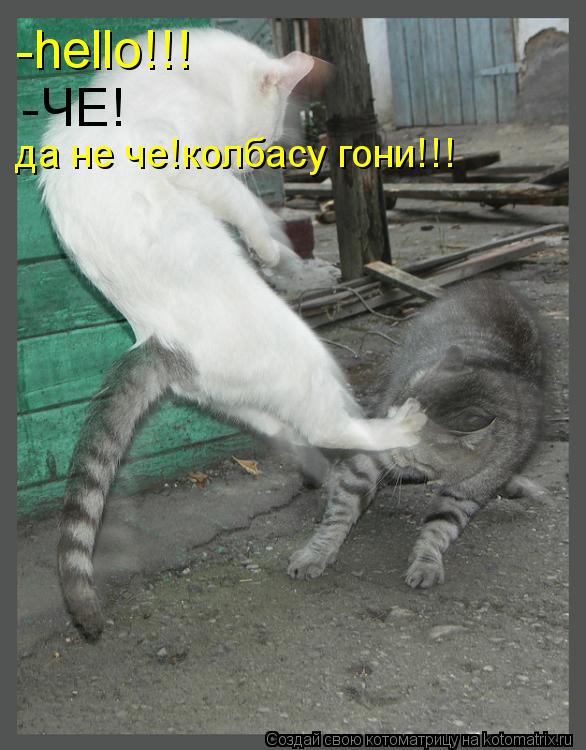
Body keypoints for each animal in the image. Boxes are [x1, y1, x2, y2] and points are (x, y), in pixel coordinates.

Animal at [38, 28, 425, 639]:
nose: (254, 158)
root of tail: (157, 343)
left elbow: (252, 214)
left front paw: (292, 260)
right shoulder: (189, 160)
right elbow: (248, 212)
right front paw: (281, 254)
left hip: (243, 397)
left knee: (293, 431)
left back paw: (334, 467)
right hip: (301, 356)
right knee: (329, 424)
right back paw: (397, 432)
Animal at [288, 279, 545, 588]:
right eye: (392, 417)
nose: (378, 438)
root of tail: (493, 283)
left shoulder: (467, 492)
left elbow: (440, 528)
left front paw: (427, 560)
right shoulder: (369, 457)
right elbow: (340, 511)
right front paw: (317, 552)